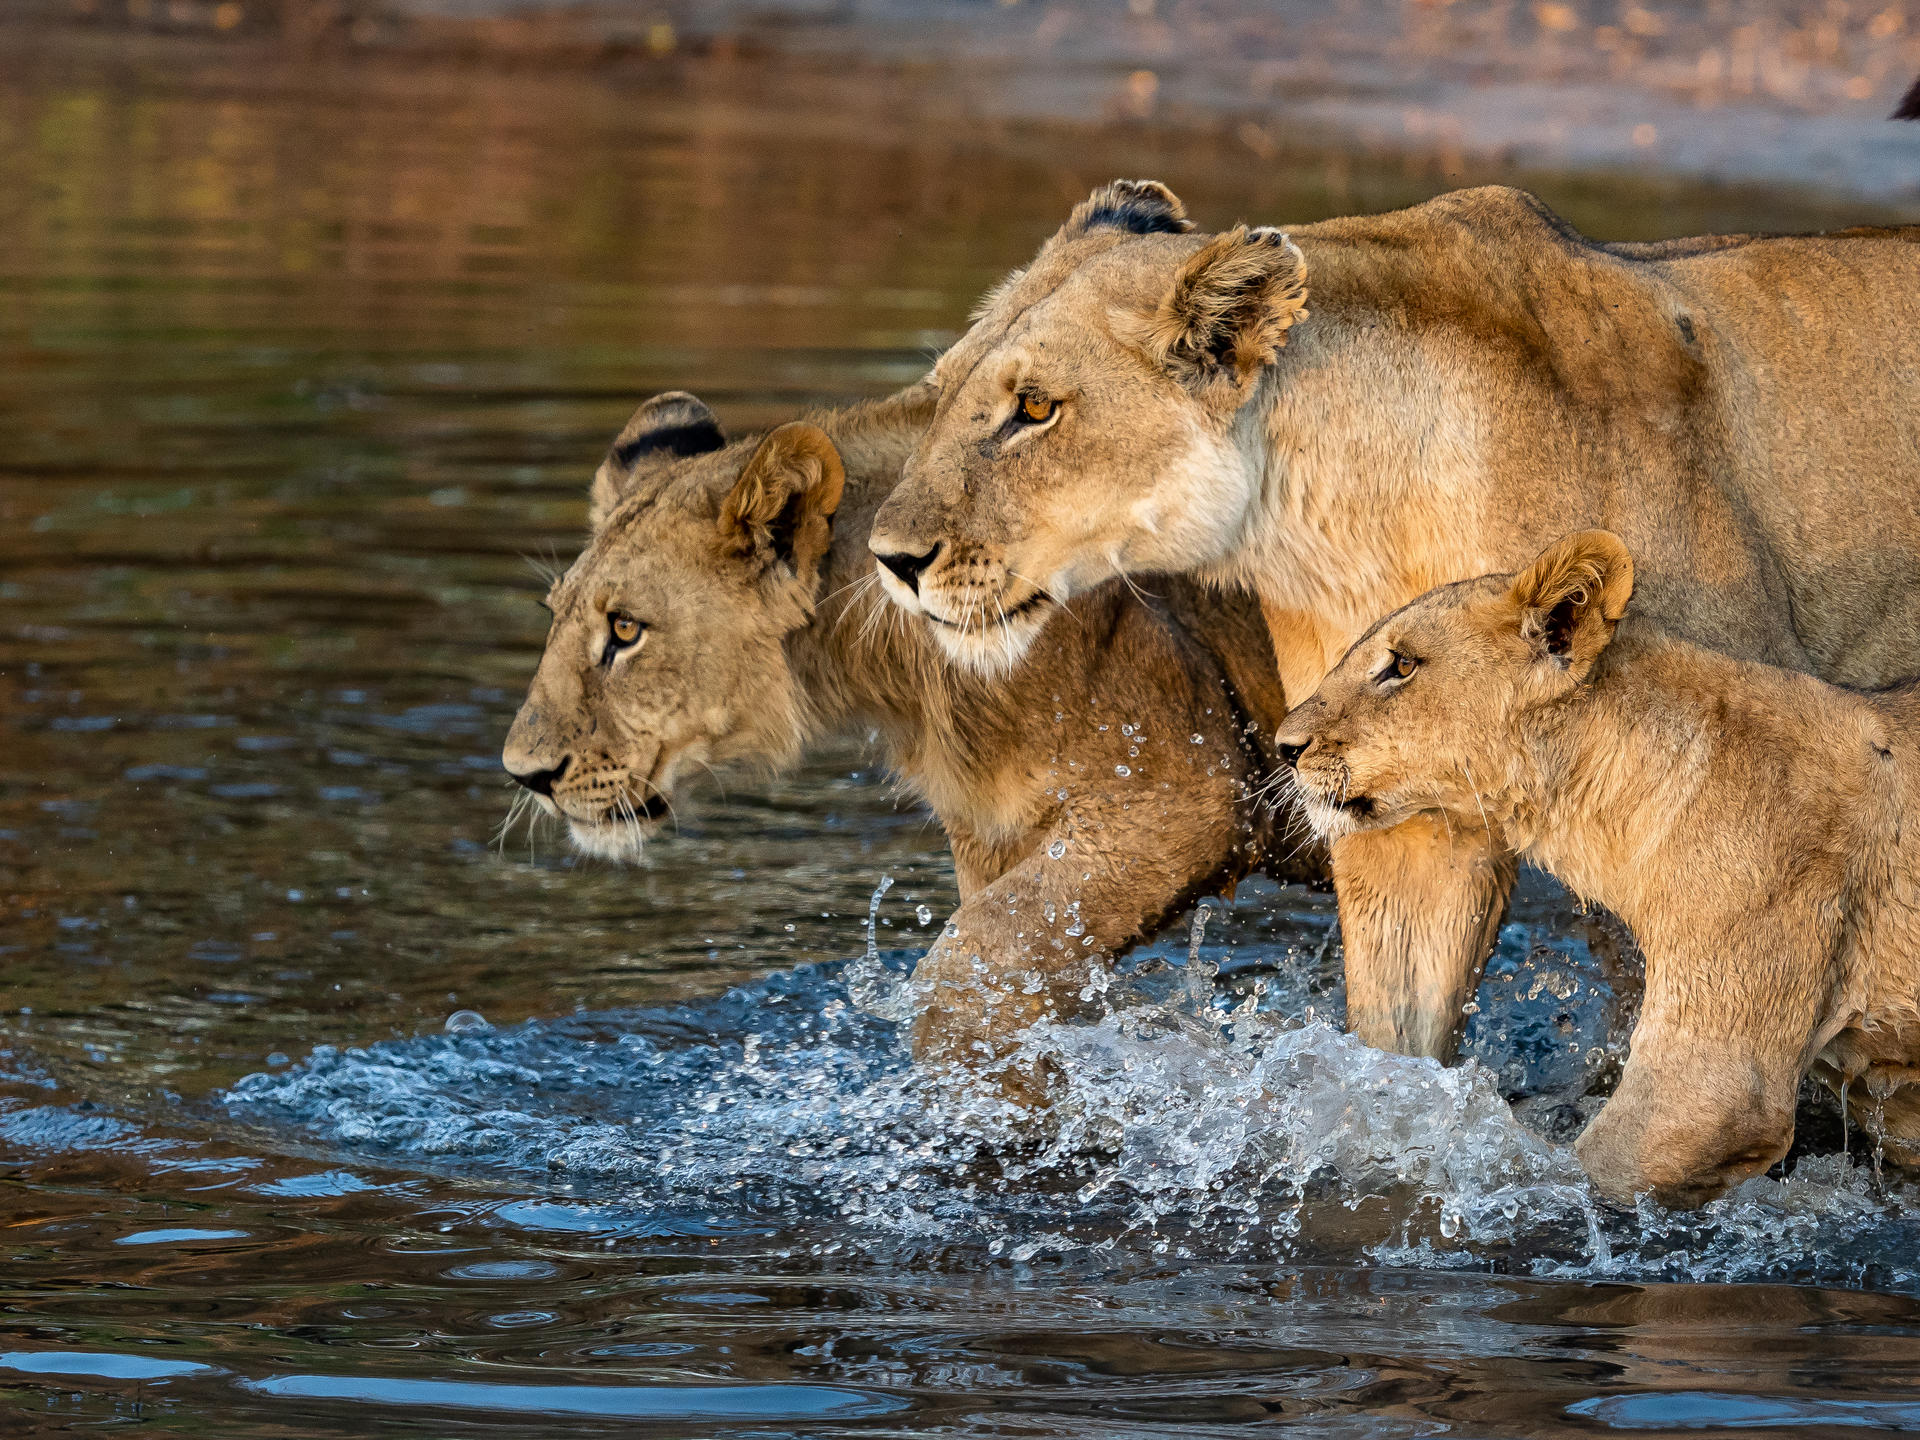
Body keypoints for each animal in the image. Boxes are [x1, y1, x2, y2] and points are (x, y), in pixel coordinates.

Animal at [503, 384, 1313, 1090]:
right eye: (555, 615)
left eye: (626, 630)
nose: (523, 773)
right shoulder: (999, 839)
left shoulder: (1185, 796)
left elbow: (960, 967)